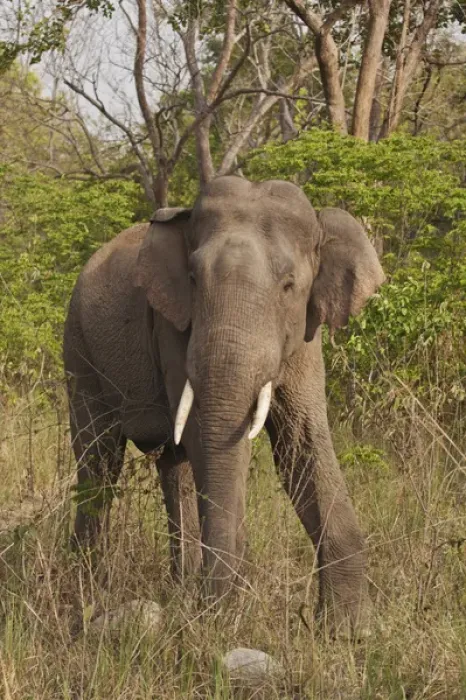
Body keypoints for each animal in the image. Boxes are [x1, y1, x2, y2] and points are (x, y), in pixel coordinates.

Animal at [63, 176, 385, 635]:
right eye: (194, 279)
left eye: (289, 285)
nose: (216, 609)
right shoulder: (172, 325)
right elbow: (206, 437)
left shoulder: (305, 333)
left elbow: (300, 445)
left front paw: (349, 632)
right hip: (79, 347)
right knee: (98, 462)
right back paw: (87, 587)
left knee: (172, 468)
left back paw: (179, 585)